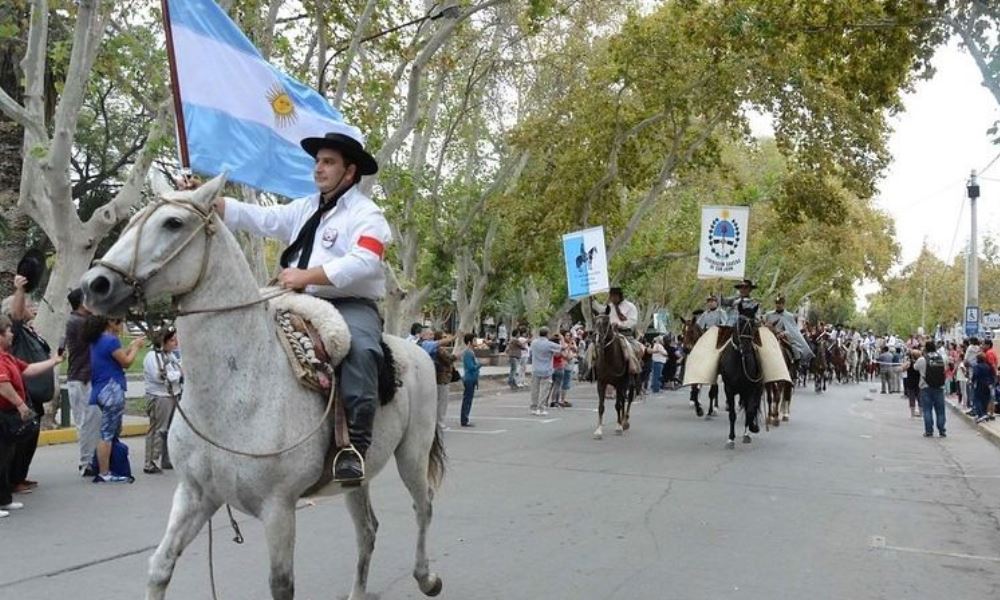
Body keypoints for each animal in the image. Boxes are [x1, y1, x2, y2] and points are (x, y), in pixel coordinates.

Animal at [80, 175, 448, 600]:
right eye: (131, 219)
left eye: (173, 223)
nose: (93, 285)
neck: (234, 390)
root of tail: (418, 351)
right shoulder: (195, 495)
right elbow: (160, 566)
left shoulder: (278, 508)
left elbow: (281, 584)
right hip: (358, 475)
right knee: (368, 530)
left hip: (412, 455)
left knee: (424, 507)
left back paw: (427, 577)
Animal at [724, 316, 760, 448]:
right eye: (739, 323)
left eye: (754, 325)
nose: (746, 349)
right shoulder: (728, 389)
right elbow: (732, 415)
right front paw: (730, 439)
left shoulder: (751, 389)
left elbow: (750, 410)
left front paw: (750, 431)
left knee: (752, 407)